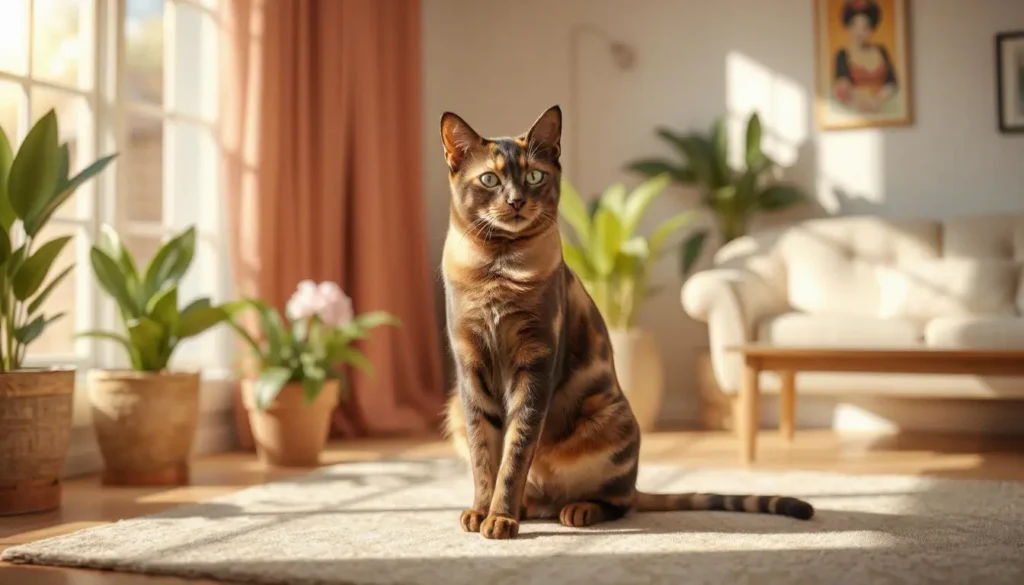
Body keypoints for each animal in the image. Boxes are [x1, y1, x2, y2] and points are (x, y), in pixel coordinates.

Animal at [436, 105, 811, 540]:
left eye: (533, 176)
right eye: (490, 179)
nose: (516, 201)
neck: (497, 268)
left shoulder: (535, 365)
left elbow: (513, 455)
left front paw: (500, 519)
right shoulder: (471, 369)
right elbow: (485, 455)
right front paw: (481, 512)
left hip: (610, 418)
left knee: (619, 501)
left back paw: (576, 510)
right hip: (455, 408)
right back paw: (528, 509)